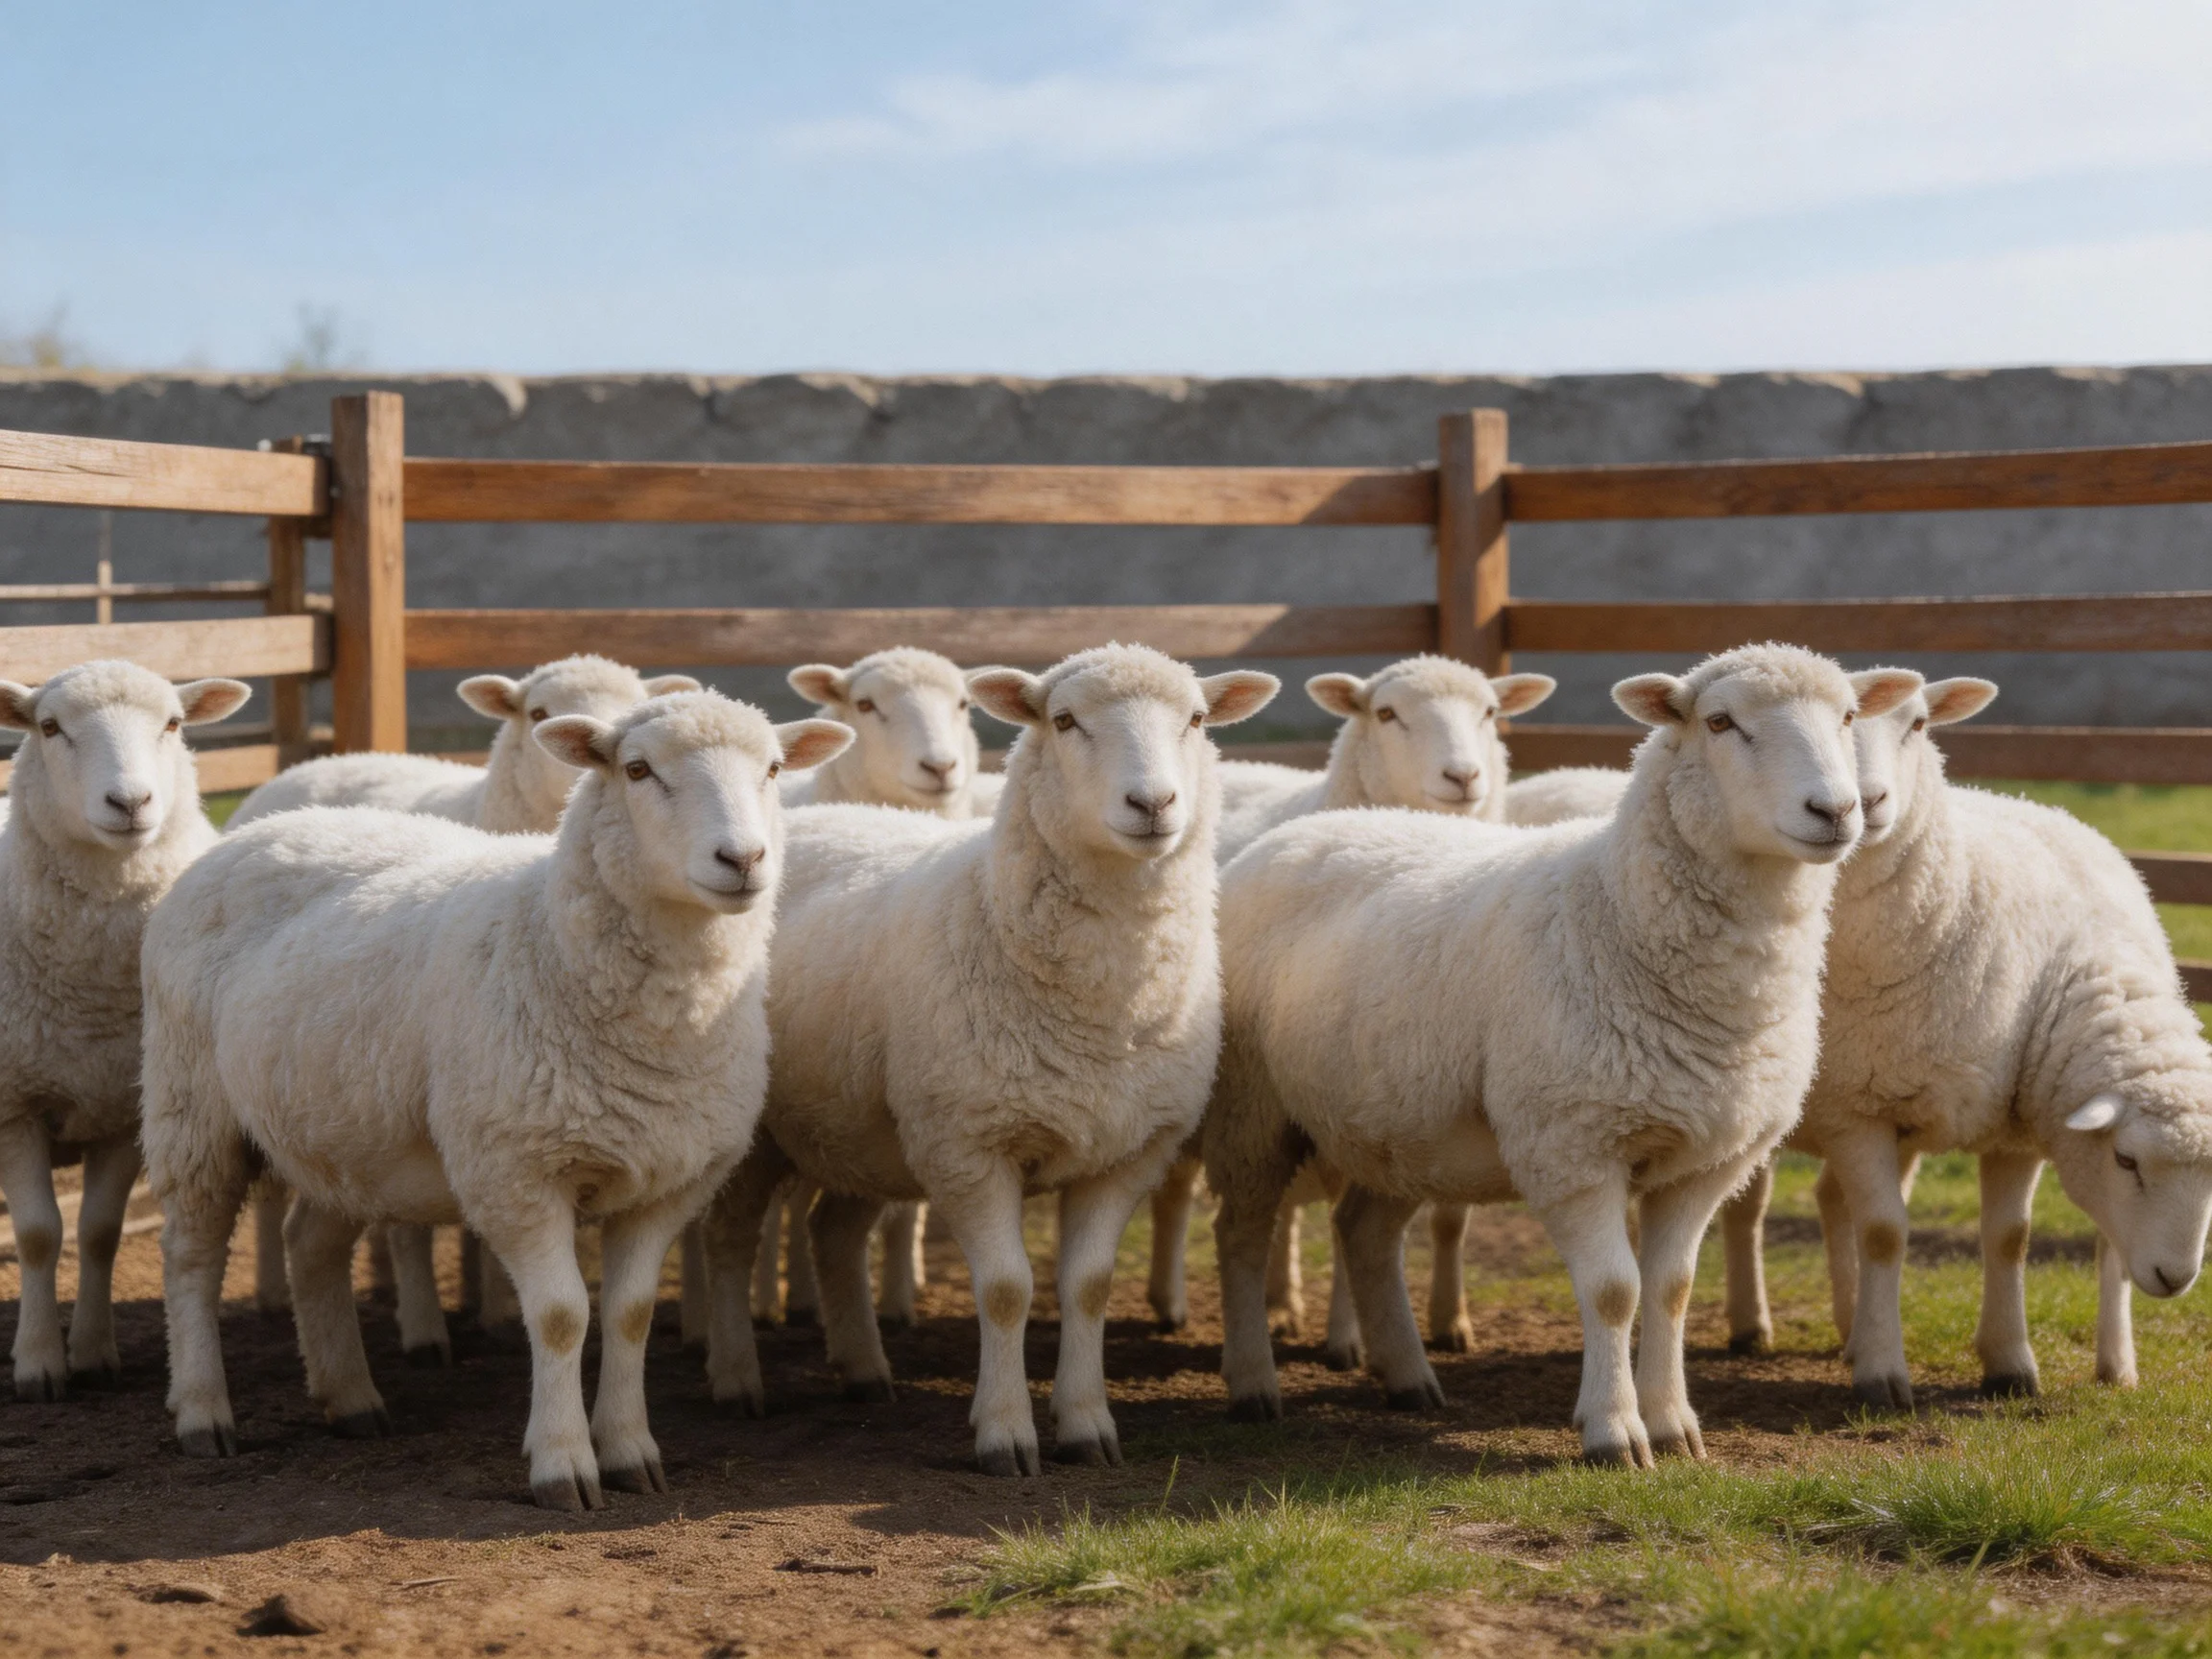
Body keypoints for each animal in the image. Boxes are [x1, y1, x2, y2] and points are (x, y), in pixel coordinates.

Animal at [0, 661, 250, 1401]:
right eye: (49, 727)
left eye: (173, 723)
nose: (130, 802)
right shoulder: (14, 1105)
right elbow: (37, 1235)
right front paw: (38, 1362)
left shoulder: (120, 1109)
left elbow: (99, 1232)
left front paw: (91, 1351)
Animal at [697, 644, 1278, 1474]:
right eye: (1063, 720)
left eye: (1197, 720)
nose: (1153, 803)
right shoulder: (970, 1144)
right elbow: (1007, 1289)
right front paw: (1004, 1433)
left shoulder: (1128, 1148)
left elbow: (1090, 1287)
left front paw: (1087, 1425)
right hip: (767, 1132)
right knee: (730, 1239)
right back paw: (736, 1378)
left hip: (867, 1125)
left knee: (833, 1233)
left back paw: (865, 1370)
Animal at [1151, 655, 1558, 1356]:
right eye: (1387, 713)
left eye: (1489, 713)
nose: (1463, 777)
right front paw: (1352, 1334)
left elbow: (1446, 1218)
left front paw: (1444, 1320)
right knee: (1184, 1185)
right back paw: (1178, 1300)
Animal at [1204, 644, 1922, 1463]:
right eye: (1719, 722)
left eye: (1848, 716)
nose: (1835, 812)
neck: (1616, 911)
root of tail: (1302, 829)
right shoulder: (1572, 1141)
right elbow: (1614, 1289)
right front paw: (1615, 1432)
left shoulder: (1708, 1159)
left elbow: (1671, 1288)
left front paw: (1673, 1424)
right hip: (1253, 1109)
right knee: (1241, 1235)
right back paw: (1253, 1383)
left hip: (1404, 1123)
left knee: (1364, 1232)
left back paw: (1408, 1377)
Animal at [1713, 677, 2212, 1406]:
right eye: (2126, 1160)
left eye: (1919, 724)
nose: (2177, 1279)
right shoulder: (1856, 1108)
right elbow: (1885, 1233)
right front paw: (1883, 1374)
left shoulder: (2014, 1114)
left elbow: (2009, 1238)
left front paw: (2012, 1362)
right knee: (1749, 1207)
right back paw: (1753, 1325)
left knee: (1831, 1201)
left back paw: (1850, 1324)